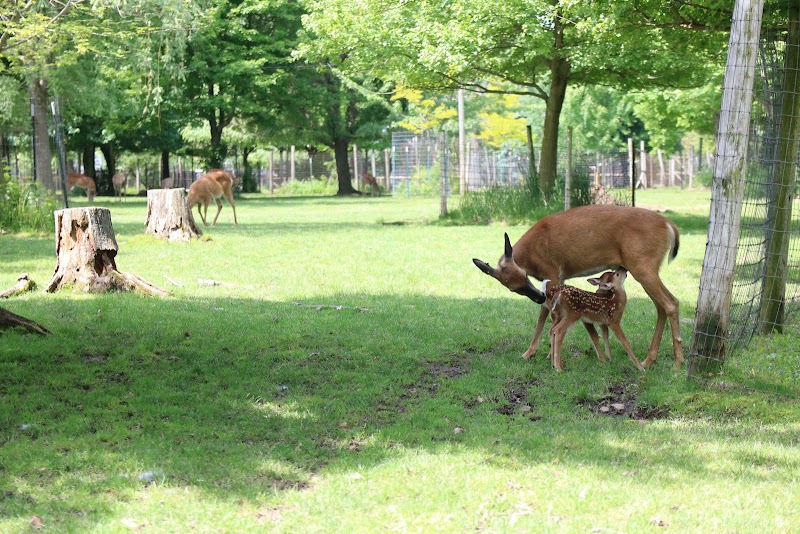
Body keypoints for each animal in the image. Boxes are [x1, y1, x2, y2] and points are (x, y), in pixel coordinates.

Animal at [472, 204, 683, 370]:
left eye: (524, 275)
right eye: (514, 289)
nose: (538, 297)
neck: (532, 254)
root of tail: (670, 226)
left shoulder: (553, 273)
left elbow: (546, 314)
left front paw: (543, 355)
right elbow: (546, 314)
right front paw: (531, 354)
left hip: (643, 265)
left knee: (670, 303)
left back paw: (677, 363)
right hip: (645, 268)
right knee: (661, 306)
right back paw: (649, 359)